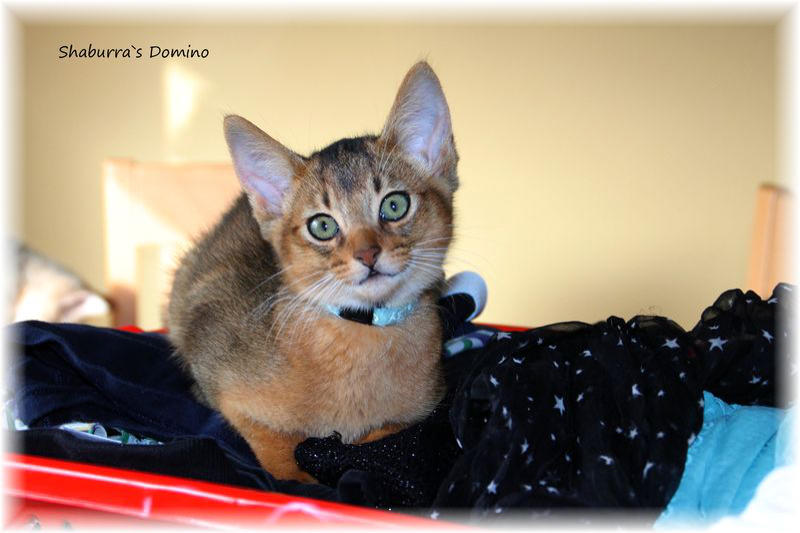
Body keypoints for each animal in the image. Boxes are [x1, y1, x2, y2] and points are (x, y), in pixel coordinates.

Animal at [166, 62, 458, 482]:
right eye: (322, 226)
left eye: (395, 205)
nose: (368, 254)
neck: (363, 337)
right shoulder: (216, 371)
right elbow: (272, 439)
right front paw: (298, 477)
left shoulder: (425, 407)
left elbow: (385, 436)